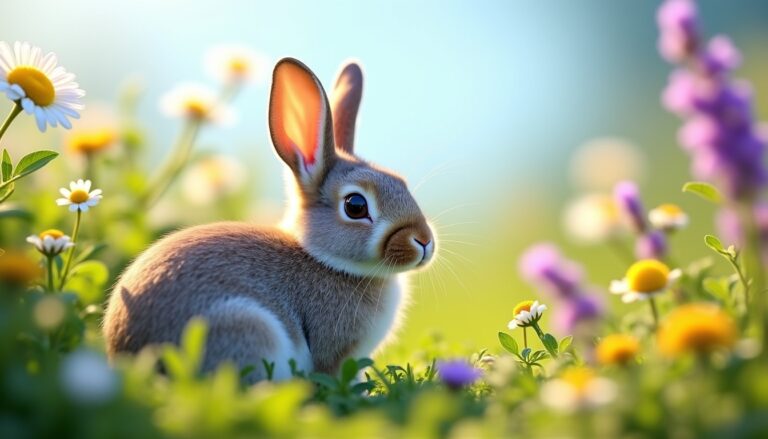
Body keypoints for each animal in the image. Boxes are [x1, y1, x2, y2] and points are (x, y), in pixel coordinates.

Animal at [103, 58, 436, 383]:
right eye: (355, 206)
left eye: (401, 182)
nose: (424, 242)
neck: (327, 261)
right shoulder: (335, 352)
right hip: (247, 329)